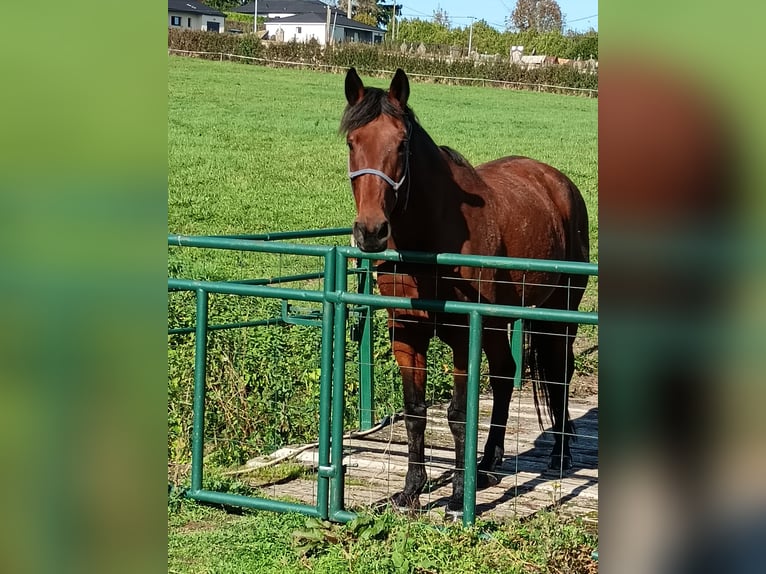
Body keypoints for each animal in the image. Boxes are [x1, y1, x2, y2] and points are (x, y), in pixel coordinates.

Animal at [344, 67, 592, 512]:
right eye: (352, 141)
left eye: (401, 144)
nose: (371, 232)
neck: (430, 236)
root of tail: (558, 183)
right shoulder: (407, 332)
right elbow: (415, 411)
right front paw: (410, 490)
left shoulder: (463, 334)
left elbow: (459, 413)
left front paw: (459, 496)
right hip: (496, 322)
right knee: (505, 374)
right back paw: (490, 461)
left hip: (560, 314)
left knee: (560, 371)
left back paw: (560, 454)